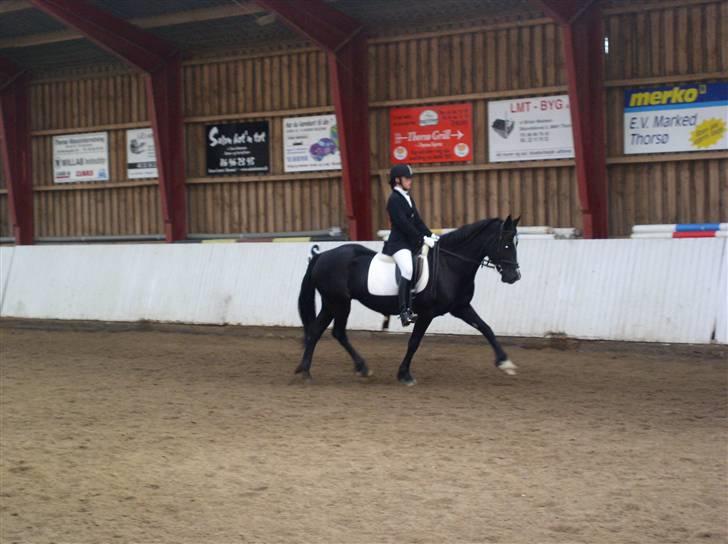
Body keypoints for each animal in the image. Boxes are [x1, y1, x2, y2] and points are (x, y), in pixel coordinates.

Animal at [298, 215, 520, 384]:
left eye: (515, 244)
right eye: (506, 244)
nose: (514, 276)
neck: (449, 264)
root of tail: (322, 256)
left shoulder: (460, 307)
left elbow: (485, 328)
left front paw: (505, 363)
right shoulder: (427, 313)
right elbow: (414, 342)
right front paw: (404, 374)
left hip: (332, 303)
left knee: (322, 331)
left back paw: (312, 370)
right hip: (339, 303)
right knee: (332, 332)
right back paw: (321, 370)